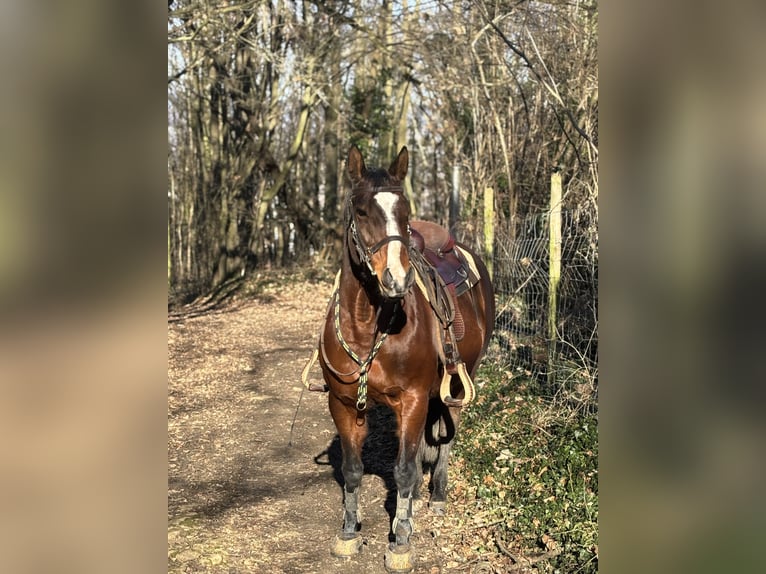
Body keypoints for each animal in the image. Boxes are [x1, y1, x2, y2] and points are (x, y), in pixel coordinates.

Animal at [315, 145, 494, 572]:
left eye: (406, 211)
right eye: (361, 210)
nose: (397, 279)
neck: (368, 327)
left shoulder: (411, 401)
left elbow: (406, 471)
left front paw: (402, 540)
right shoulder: (342, 403)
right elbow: (352, 470)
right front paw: (348, 533)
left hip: (460, 381)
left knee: (448, 435)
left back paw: (439, 495)